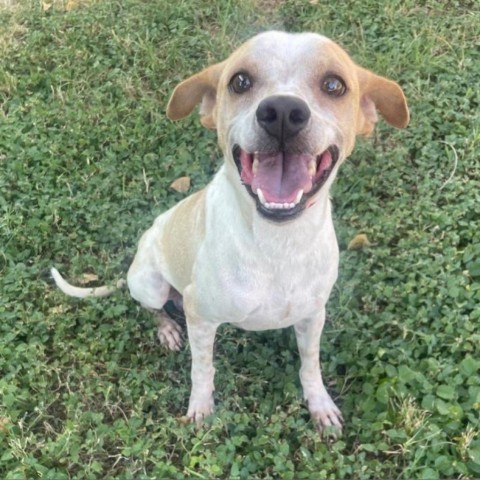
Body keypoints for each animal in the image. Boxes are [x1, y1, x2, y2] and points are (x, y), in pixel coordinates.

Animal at [52, 31, 408, 436]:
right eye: (240, 81)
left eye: (334, 85)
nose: (282, 112)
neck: (276, 243)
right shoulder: (201, 318)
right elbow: (202, 369)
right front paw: (200, 408)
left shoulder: (312, 316)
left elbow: (310, 364)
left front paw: (320, 405)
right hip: (150, 282)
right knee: (152, 307)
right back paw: (167, 329)